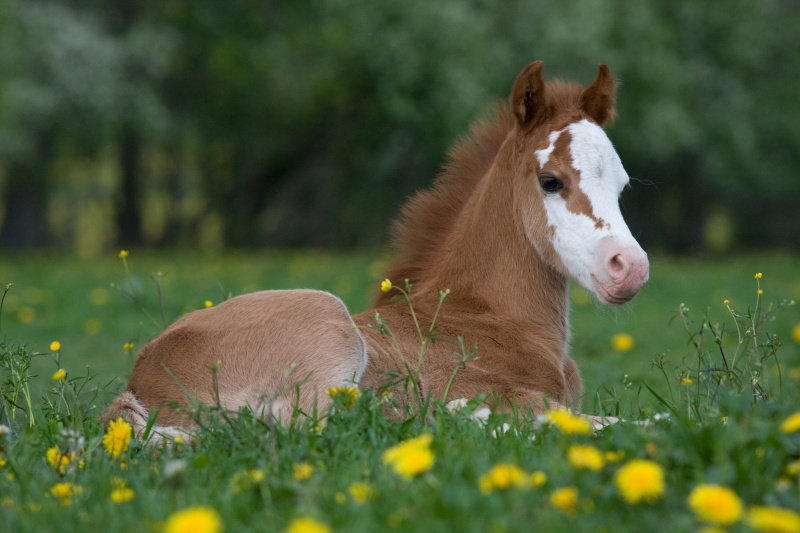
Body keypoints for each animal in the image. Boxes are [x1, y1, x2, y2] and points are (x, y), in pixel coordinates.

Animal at [99, 61, 649, 437]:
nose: (631, 268)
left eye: (623, 186)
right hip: (324, 319)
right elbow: (637, 424)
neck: (486, 317)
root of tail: (140, 380)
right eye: (551, 180)